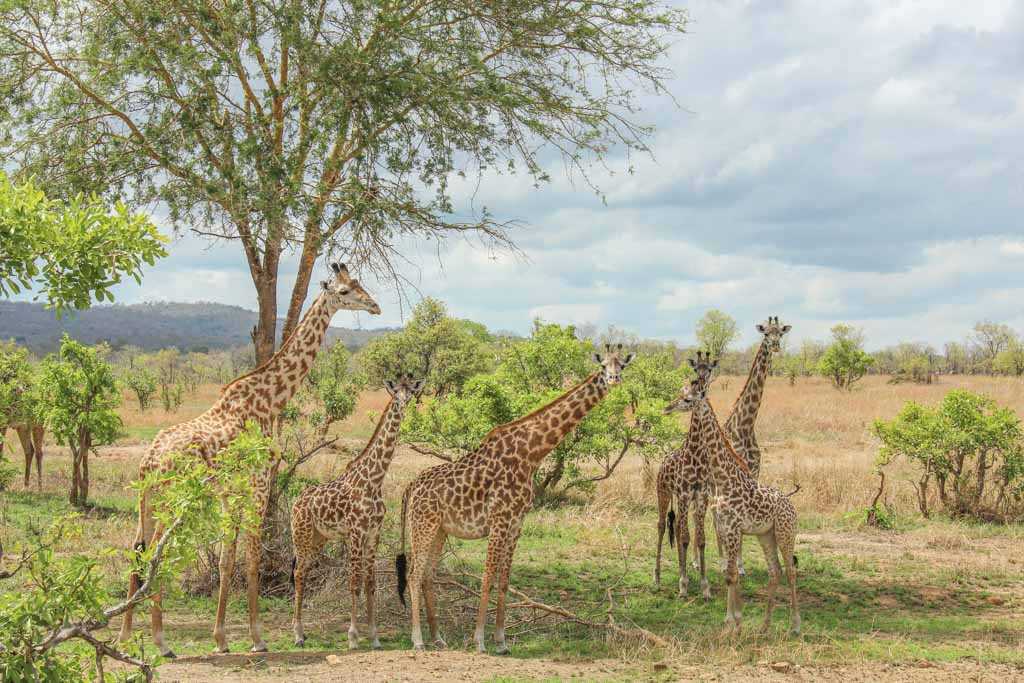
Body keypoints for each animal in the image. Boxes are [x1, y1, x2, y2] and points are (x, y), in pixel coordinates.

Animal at [117, 264, 380, 655]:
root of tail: (147, 462)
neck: (271, 399)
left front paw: (221, 638)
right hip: (171, 501)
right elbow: (252, 558)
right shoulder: (259, 483)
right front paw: (257, 638)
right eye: (345, 291)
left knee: (137, 551)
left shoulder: (231, 492)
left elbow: (227, 560)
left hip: (146, 501)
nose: (375, 306)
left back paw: (123, 638)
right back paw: (161, 642)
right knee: (155, 554)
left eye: (360, 284)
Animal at [292, 374, 423, 651]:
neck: (374, 481)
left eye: (410, 395)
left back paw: (303, 633)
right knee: (298, 573)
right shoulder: (355, 533)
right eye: (395, 395)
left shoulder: (373, 533)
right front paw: (353, 637)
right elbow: (354, 583)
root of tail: (296, 501)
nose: (402, 407)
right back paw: (297, 634)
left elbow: (369, 583)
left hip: (319, 539)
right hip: (301, 535)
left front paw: (374, 637)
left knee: (304, 572)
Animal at [393, 344, 626, 655]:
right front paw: (479, 640)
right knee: (414, 574)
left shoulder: (517, 522)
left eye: (622, 365)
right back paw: (418, 640)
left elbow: (504, 581)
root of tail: (410, 487)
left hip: (440, 529)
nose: (613, 379)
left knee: (429, 574)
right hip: (422, 525)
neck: (532, 453)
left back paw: (438, 638)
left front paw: (501, 641)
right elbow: (487, 577)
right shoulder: (500, 519)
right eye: (603, 366)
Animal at [655, 352, 720, 598]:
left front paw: (704, 586)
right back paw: (657, 578)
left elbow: (699, 539)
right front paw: (682, 584)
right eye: (683, 396)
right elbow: (684, 538)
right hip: (663, 493)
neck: (697, 454)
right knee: (662, 526)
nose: (667, 408)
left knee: (680, 528)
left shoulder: (701, 496)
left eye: (709, 368)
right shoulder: (683, 494)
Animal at [667, 352, 802, 634]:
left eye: (688, 398)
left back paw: (795, 625)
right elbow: (728, 573)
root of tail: (792, 507)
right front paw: (731, 620)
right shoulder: (724, 526)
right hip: (766, 535)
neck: (723, 477)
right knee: (775, 571)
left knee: (791, 571)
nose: (668, 407)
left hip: (785, 534)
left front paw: (734, 622)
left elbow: (730, 573)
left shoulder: (732, 528)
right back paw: (764, 625)